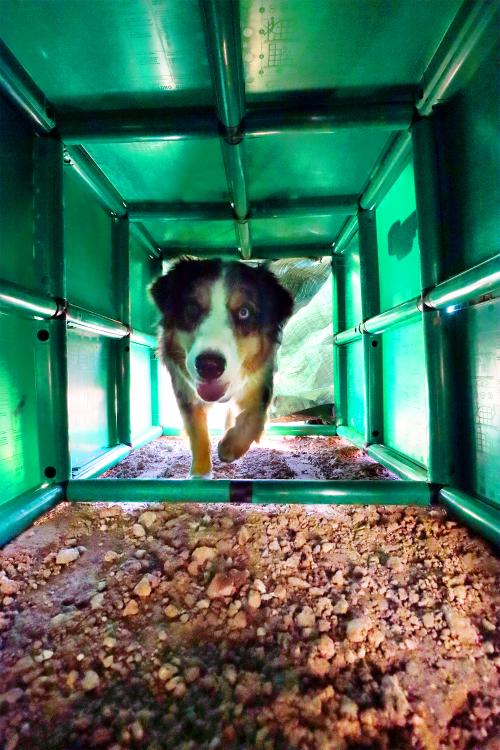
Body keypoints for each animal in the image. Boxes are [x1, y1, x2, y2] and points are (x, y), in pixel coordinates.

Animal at [150, 262, 294, 478]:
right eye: (192, 308)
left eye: (244, 312)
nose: (209, 366)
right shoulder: (184, 390)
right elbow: (198, 432)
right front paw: (200, 473)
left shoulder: (261, 379)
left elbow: (254, 416)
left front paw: (230, 446)